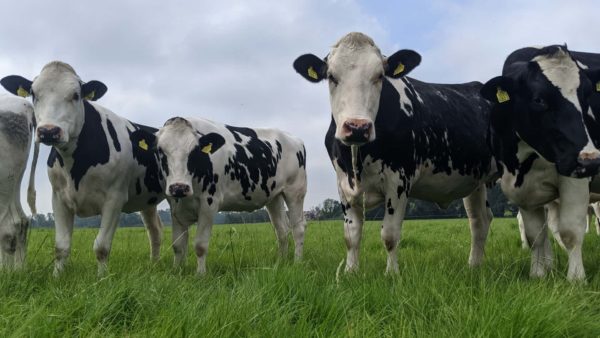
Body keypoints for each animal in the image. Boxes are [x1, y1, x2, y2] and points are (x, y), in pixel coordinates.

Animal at [0, 62, 164, 276]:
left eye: (76, 95)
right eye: (34, 93)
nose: (49, 131)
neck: (77, 166)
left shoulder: (115, 199)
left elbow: (101, 246)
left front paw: (102, 278)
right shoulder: (59, 198)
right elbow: (61, 246)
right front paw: (57, 277)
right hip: (147, 200)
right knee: (155, 231)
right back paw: (154, 266)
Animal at [152, 116, 308, 274]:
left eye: (194, 151)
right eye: (160, 151)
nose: (179, 187)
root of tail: (295, 139)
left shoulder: (209, 203)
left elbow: (200, 245)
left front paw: (200, 274)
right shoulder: (175, 207)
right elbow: (178, 246)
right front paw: (177, 271)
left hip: (295, 191)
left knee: (298, 229)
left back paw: (297, 263)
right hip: (274, 197)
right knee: (282, 230)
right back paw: (280, 262)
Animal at [294, 31, 496, 274]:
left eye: (380, 75)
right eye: (331, 76)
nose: (357, 127)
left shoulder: (399, 180)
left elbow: (390, 235)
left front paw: (392, 274)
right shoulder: (343, 186)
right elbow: (351, 236)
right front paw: (351, 272)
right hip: (475, 181)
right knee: (480, 220)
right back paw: (474, 266)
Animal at [480, 45, 600, 282]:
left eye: (587, 95)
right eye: (539, 100)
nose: (590, 160)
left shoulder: (574, 178)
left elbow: (571, 231)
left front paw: (576, 279)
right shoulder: (522, 189)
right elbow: (535, 234)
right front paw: (538, 274)